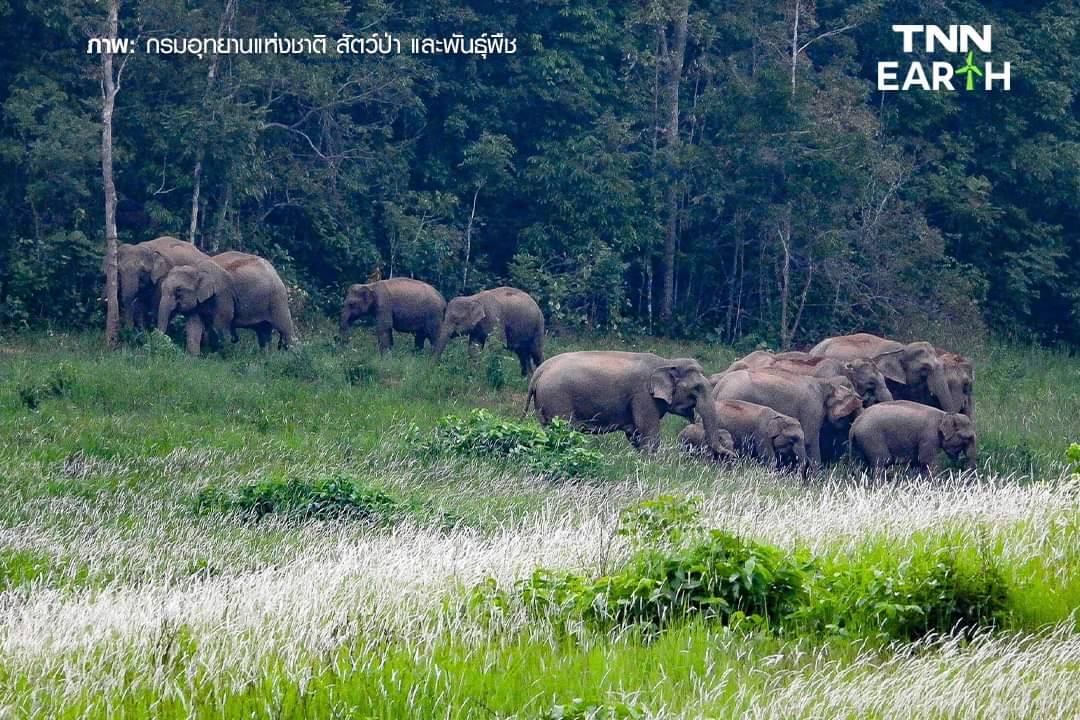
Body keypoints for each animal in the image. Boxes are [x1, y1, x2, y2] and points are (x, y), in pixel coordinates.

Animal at [156, 252, 295, 356]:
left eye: (178, 290)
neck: (197, 268)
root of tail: (276, 273)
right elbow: (193, 325)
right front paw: (193, 358)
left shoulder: (223, 295)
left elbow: (221, 325)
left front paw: (222, 357)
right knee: (263, 333)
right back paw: (266, 359)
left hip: (278, 300)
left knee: (285, 329)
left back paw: (289, 357)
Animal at [851, 399, 980, 472]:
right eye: (967, 438)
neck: (944, 415)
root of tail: (855, 423)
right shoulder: (929, 436)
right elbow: (926, 461)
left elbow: (918, 463)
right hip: (872, 438)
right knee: (881, 463)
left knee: (862, 465)